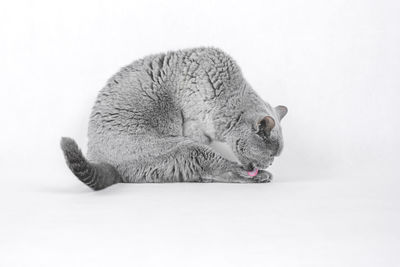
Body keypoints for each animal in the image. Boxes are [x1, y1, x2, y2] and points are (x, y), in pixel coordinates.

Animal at [60, 47, 288, 191]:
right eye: (271, 155)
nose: (269, 164)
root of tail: (100, 160)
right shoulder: (194, 127)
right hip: (180, 148)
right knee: (215, 167)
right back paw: (258, 176)